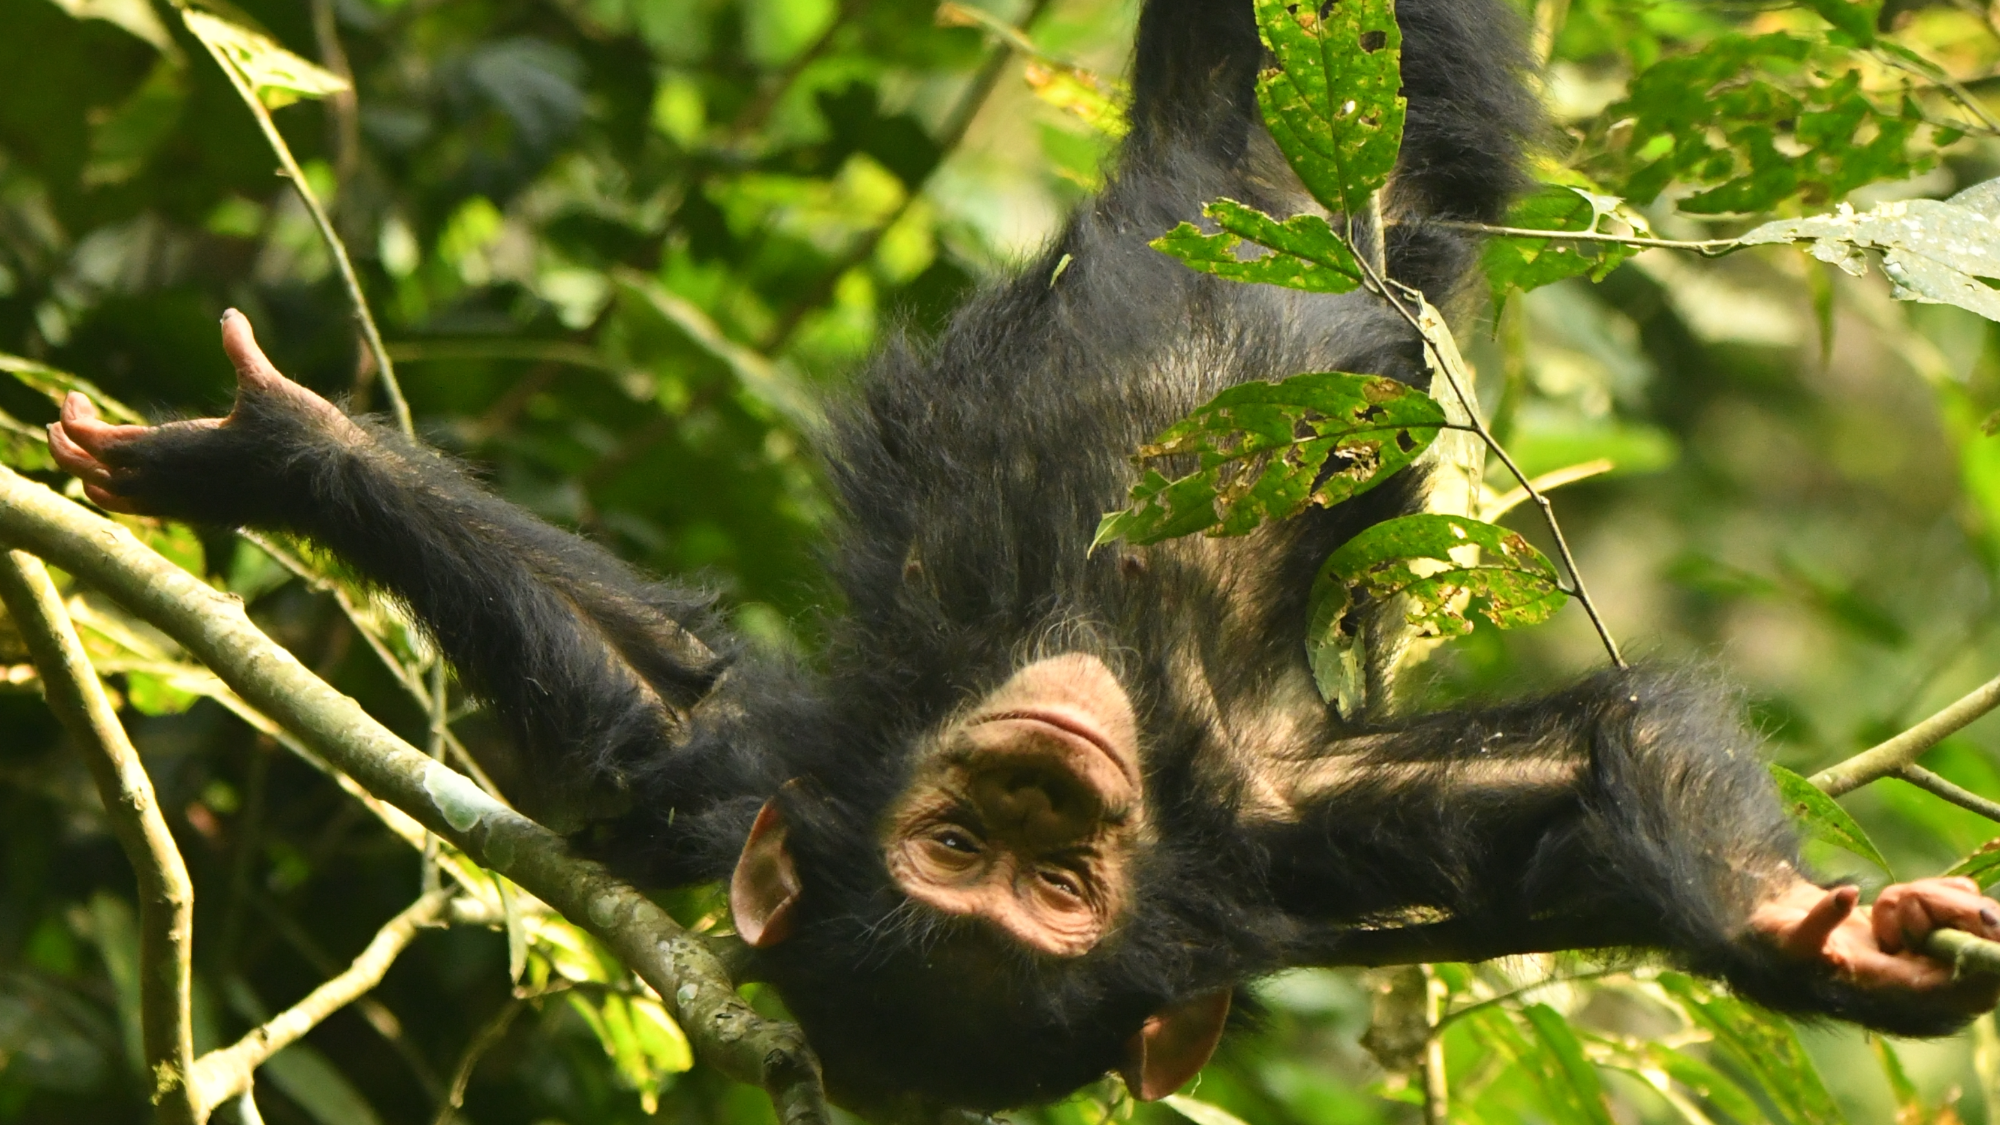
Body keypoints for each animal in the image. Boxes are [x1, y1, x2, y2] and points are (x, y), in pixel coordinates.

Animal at [39, 0, 2000, 1112]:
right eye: (963, 851)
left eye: (1058, 879)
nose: (1049, 775)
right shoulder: (779, 781)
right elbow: (675, 707)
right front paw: (288, 448)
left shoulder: (1284, 822)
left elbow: (1596, 757)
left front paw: (1817, 937)